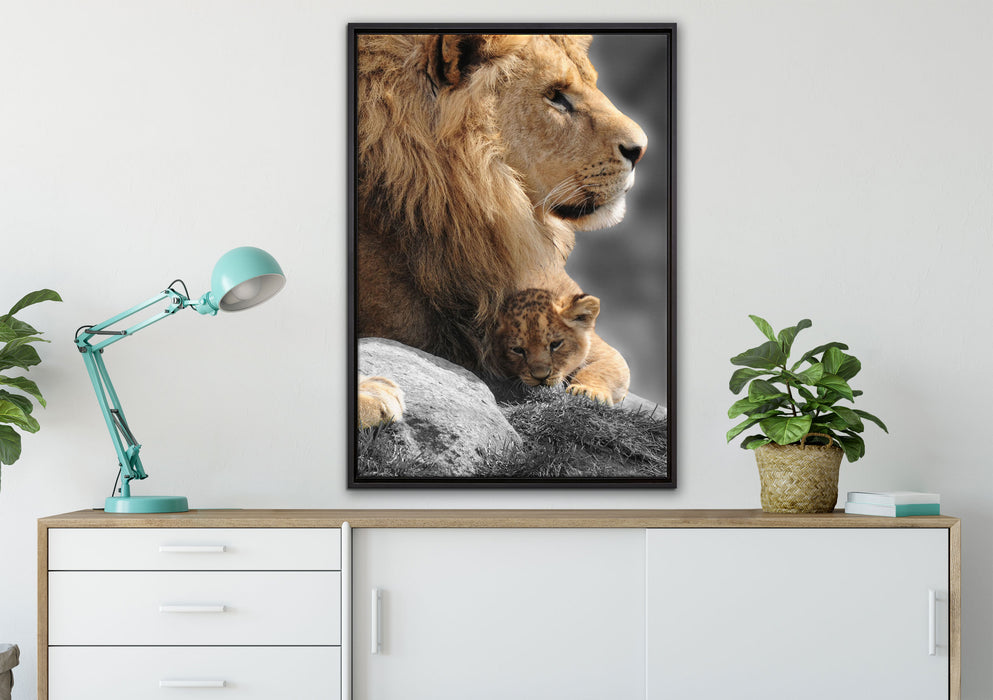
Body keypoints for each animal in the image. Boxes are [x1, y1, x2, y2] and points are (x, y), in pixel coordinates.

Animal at [494, 288, 630, 405]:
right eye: (518, 350)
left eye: (555, 344)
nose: (541, 377)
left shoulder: (608, 354)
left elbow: (598, 370)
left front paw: (586, 391)